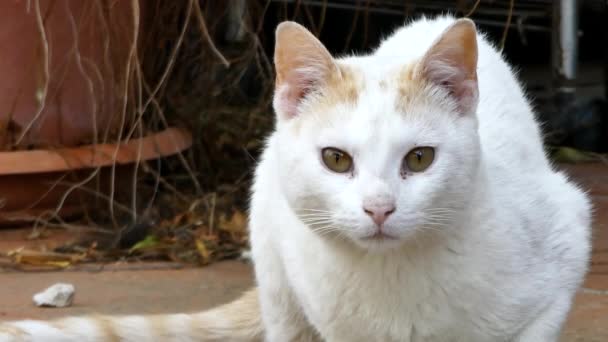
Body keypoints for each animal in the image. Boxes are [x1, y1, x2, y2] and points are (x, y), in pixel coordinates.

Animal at [0, 14, 588, 340]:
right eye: (336, 159)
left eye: (420, 159)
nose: (379, 208)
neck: (395, 281)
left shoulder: (566, 240)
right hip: (281, 280)